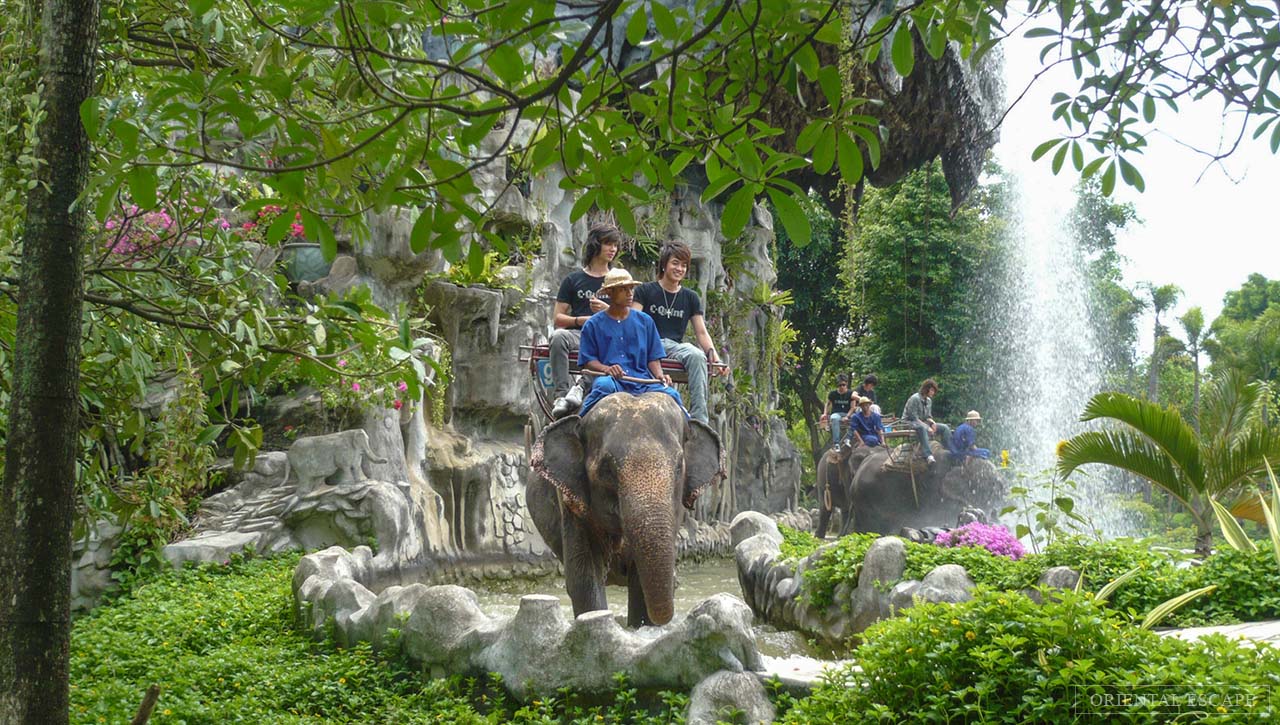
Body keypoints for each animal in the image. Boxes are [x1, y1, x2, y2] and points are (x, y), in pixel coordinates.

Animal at [526, 392, 724, 627]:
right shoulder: (571, 502)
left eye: (678, 468)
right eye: (607, 469)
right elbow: (584, 579)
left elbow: (639, 583)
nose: (676, 582)